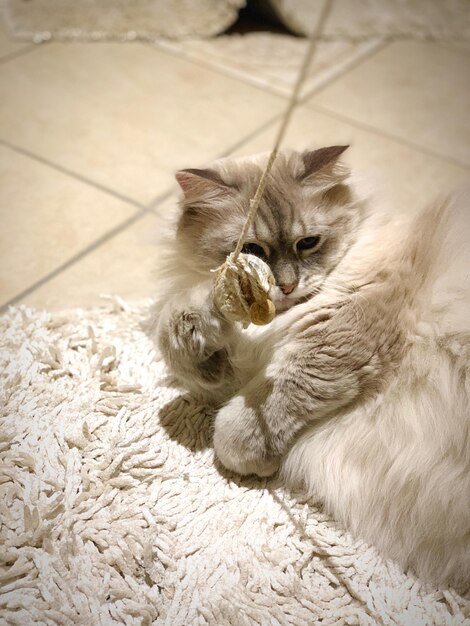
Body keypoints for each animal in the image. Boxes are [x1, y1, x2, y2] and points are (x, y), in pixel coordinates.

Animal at [151, 145, 470, 588]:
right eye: (252, 251)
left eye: (308, 243)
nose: (286, 287)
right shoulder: (238, 369)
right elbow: (179, 334)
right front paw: (199, 326)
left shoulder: (347, 326)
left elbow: (278, 396)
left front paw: (244, 454)